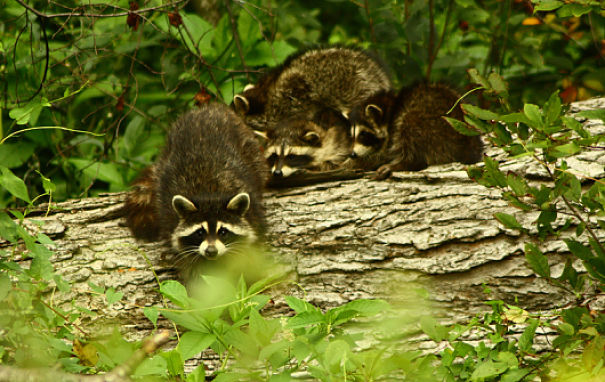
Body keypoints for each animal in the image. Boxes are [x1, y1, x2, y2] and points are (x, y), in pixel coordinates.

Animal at [124, 103, 268, 280]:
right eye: (200, 233)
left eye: (223, 232)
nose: (211, 251)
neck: (210, 194)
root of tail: (208, 108)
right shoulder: (170, 217)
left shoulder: (253, 209)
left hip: (251, 149)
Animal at [344, 81, 482, 179]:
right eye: (352, 135)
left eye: (364, 134)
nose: (353, 154)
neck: (392, 108)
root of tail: (468, 146)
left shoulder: (392, 132)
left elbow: (382, 155)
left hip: (434, 126)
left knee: (409, 125)